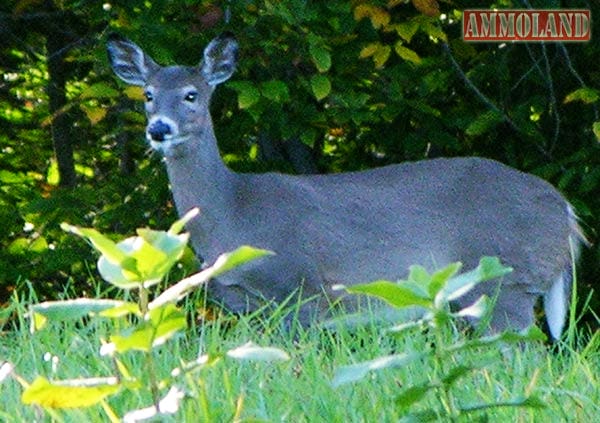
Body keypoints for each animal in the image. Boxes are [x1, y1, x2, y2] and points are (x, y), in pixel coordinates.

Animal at [106, 33, 580, 340]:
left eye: (191, 94)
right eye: (148, 94)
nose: (159, 129)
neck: (235, 210)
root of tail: (566, 209)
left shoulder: (301, 287)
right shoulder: (247, 306)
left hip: (506, 276)